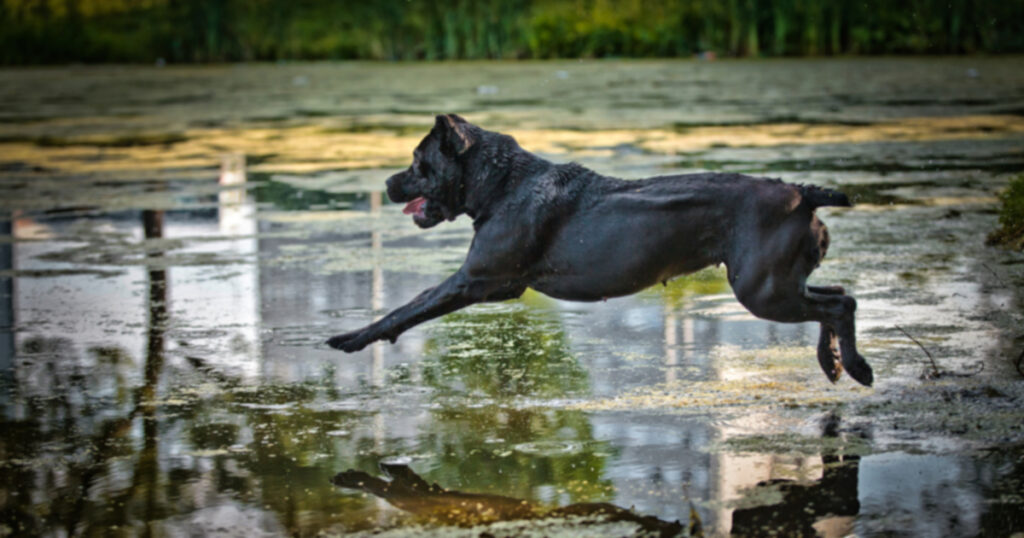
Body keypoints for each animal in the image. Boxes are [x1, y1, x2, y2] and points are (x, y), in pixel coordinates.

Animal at [327, 113, 872, 383]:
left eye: (418, 162)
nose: (388, 182)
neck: (501, 184)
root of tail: (802, 194)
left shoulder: (477, 280)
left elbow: (408, 306)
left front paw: (352, 338)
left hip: (762, 290)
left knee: (840, 303)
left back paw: (857, 367)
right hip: (780, 281)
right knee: (836, 295)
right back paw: (832, 363)